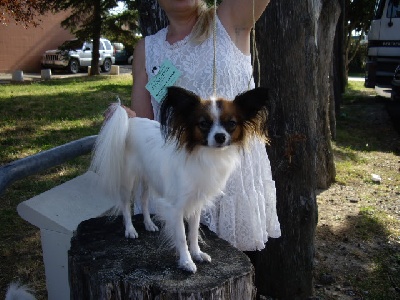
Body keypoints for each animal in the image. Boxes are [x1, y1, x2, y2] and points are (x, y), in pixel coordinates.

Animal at [90, 85, 268, 274]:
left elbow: (194, 232)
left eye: (231, 124)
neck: (205, 156)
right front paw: (186, 261)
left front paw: (197, 253)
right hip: (128, 179)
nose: (220, 136)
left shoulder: (196, 203)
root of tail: (129, 123)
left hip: (148, 177)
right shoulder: (175, 207)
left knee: (143, 200)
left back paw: (149, 224)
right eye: (204, 124)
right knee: (125, 205)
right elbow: (182, 236)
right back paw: (130, 229)